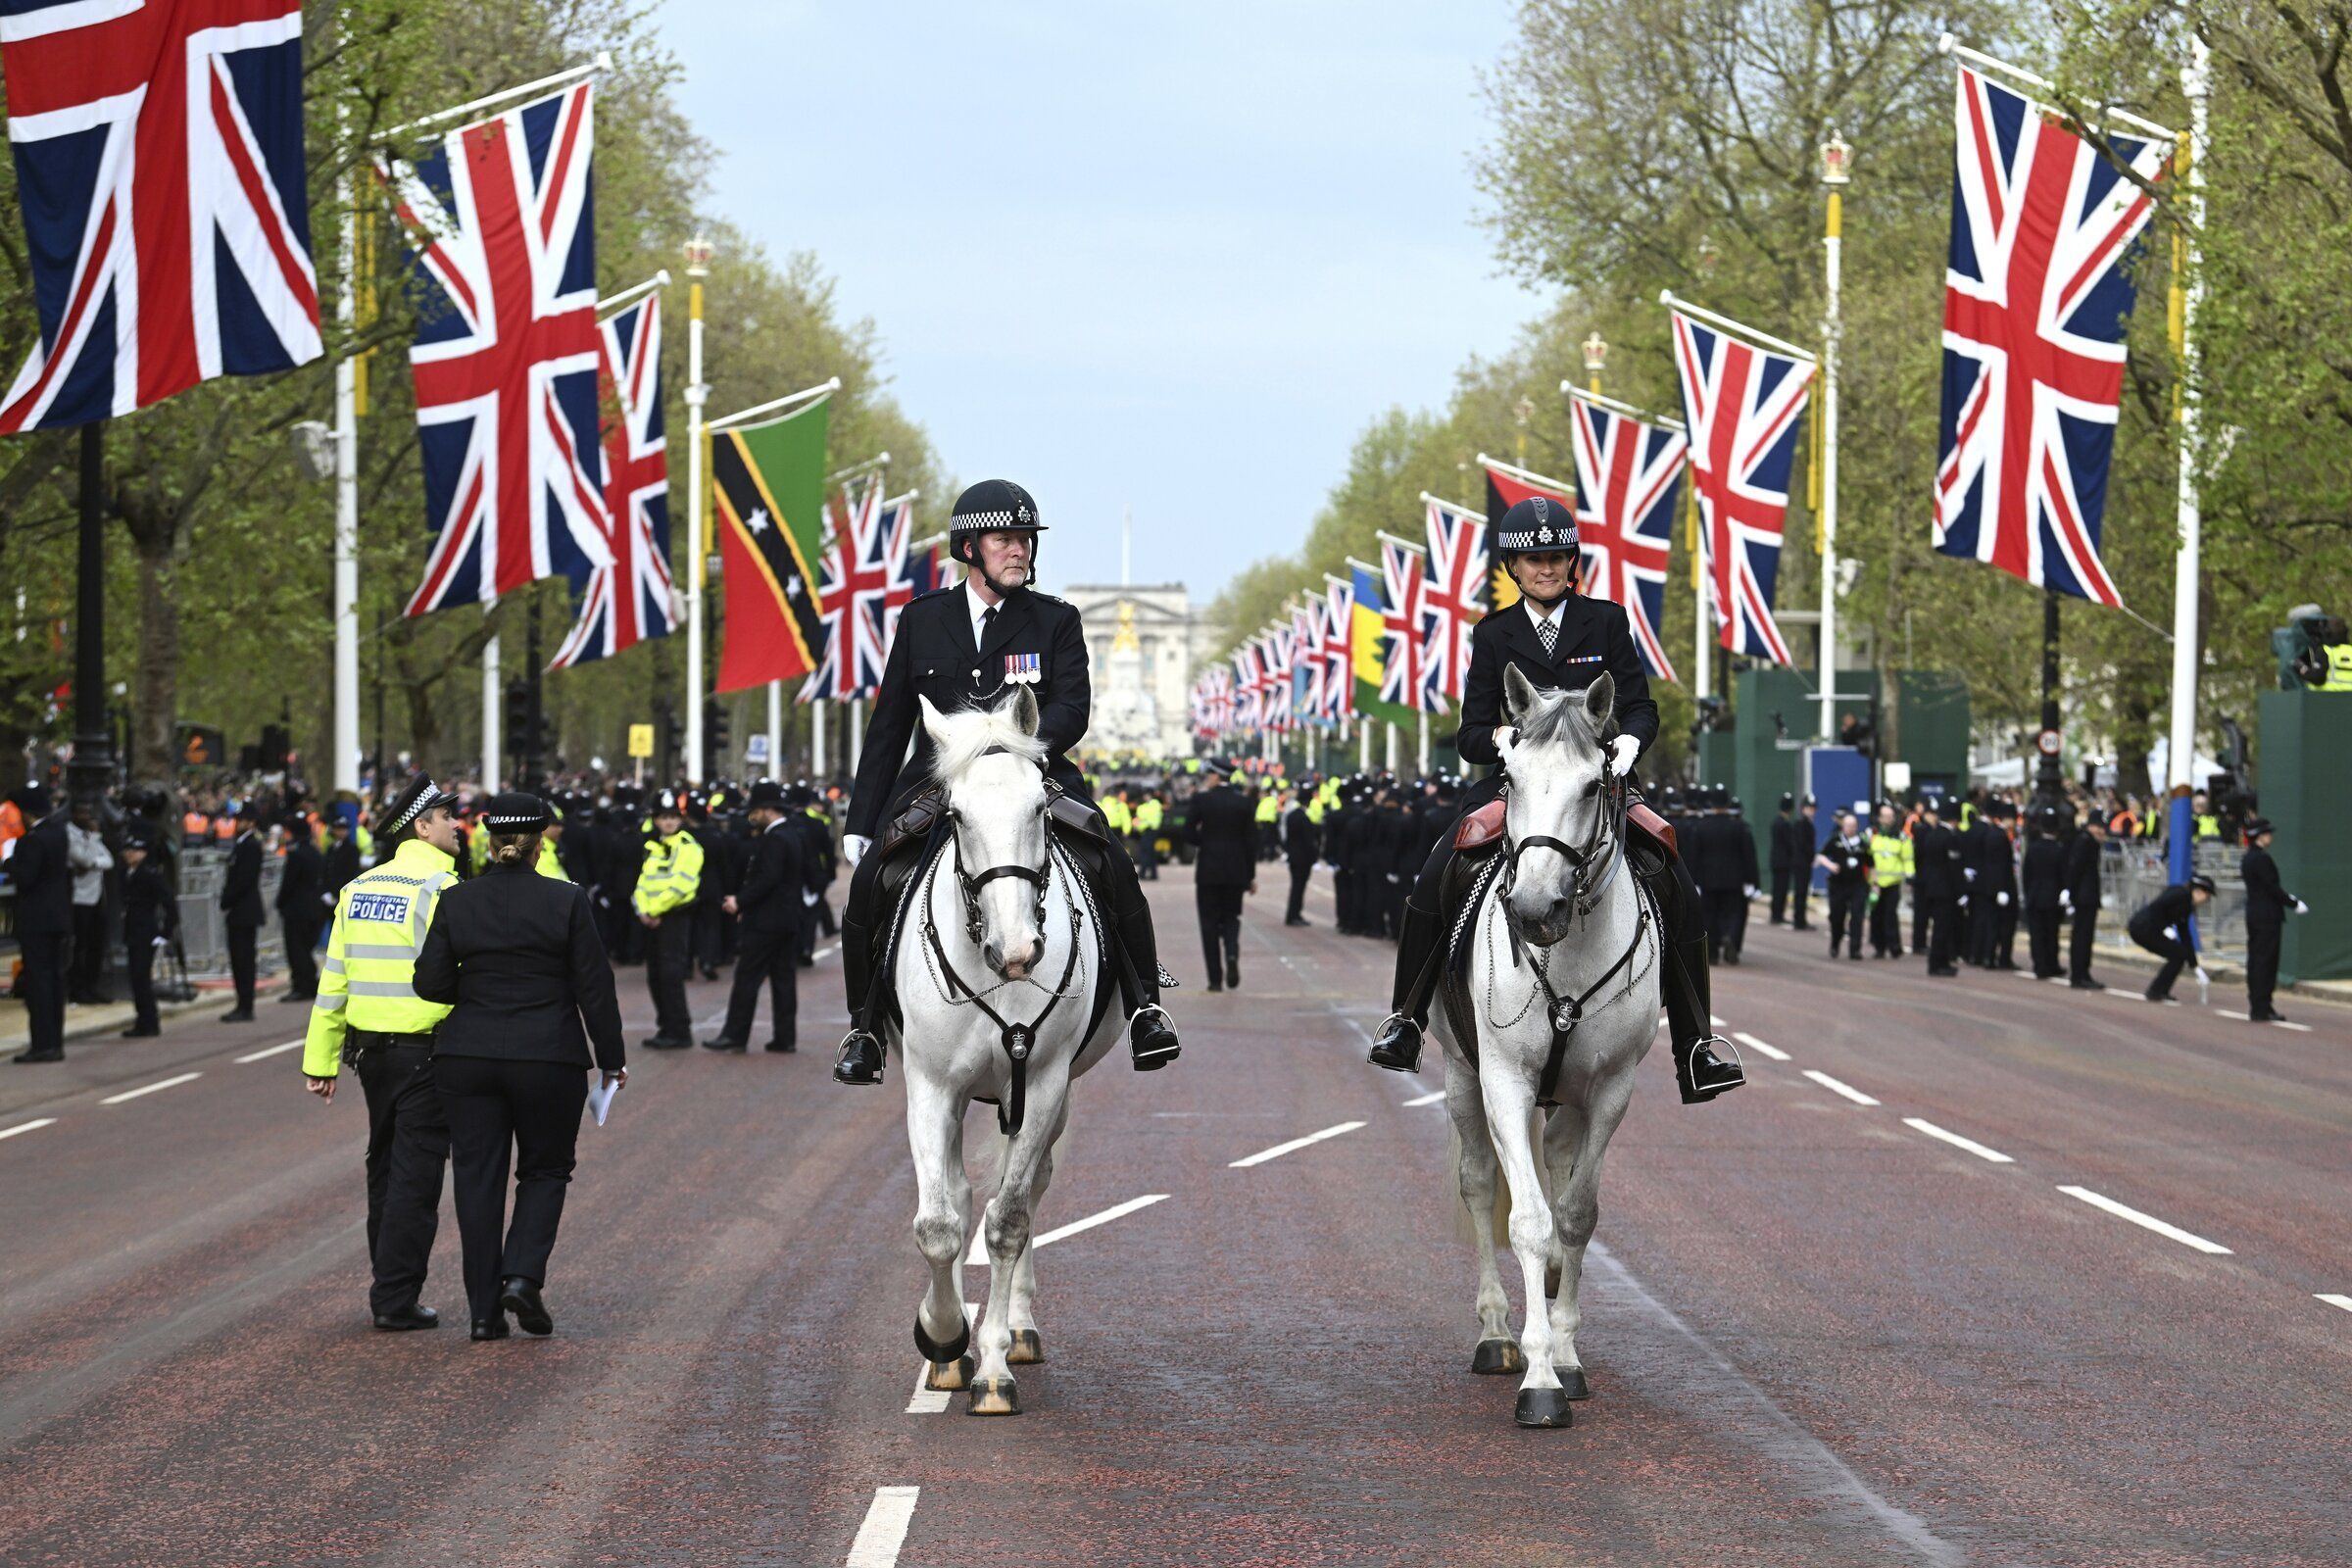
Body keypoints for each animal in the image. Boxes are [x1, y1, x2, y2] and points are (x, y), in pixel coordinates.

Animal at [898, 691, 1119, 1419]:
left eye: (1040, 809)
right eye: (957, 815)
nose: (1018, 950)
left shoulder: (1045, 1082)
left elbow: (1009, 1221)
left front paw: (992, 1366)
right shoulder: (930, 1084)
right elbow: (941, 1223)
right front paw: (943, 1339)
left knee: (1027, 1187)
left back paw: (1018, 1328)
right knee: (967, 1193)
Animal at [1420, 667, 1665, 1429]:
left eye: (1592, 785)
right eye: (1511, 777)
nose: (1532, 911)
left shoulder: (1612, 1089)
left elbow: (1578, 1214)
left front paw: (1565, 1355)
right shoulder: (1503, 1078)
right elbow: (1524, 1219)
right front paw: (1537, 1377)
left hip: (1571, 1097)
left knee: (1558, 1165)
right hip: (1461, 1074)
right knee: (1477, 1182)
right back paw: (1497, 1332)